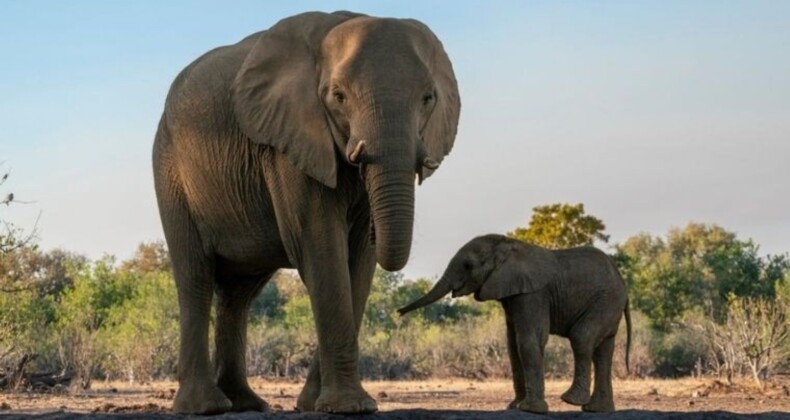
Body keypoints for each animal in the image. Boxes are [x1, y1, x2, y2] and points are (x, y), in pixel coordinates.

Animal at [152, 11, 460, 416]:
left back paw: (246, 403)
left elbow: (358, 262)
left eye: (428, 98)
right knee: (195, 277)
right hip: (170, 172)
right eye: (338, 96)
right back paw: (206, 407)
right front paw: (348, 407)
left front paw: (318, 405)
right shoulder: (288, 144)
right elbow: (320, 246)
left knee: (239, 294)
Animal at [400, 233, 636, 414]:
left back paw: (572, 400)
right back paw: (598, 410)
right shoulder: (512, 294)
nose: (399, 312)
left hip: (605, 301)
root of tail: (623, 285)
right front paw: (514, 406)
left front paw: (531, 410)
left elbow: (529, 340)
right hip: (608, 305)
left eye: (468, 265)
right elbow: (512, 345)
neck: (508, 245)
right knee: (603, 351)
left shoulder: (532, 293)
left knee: (582, 338)